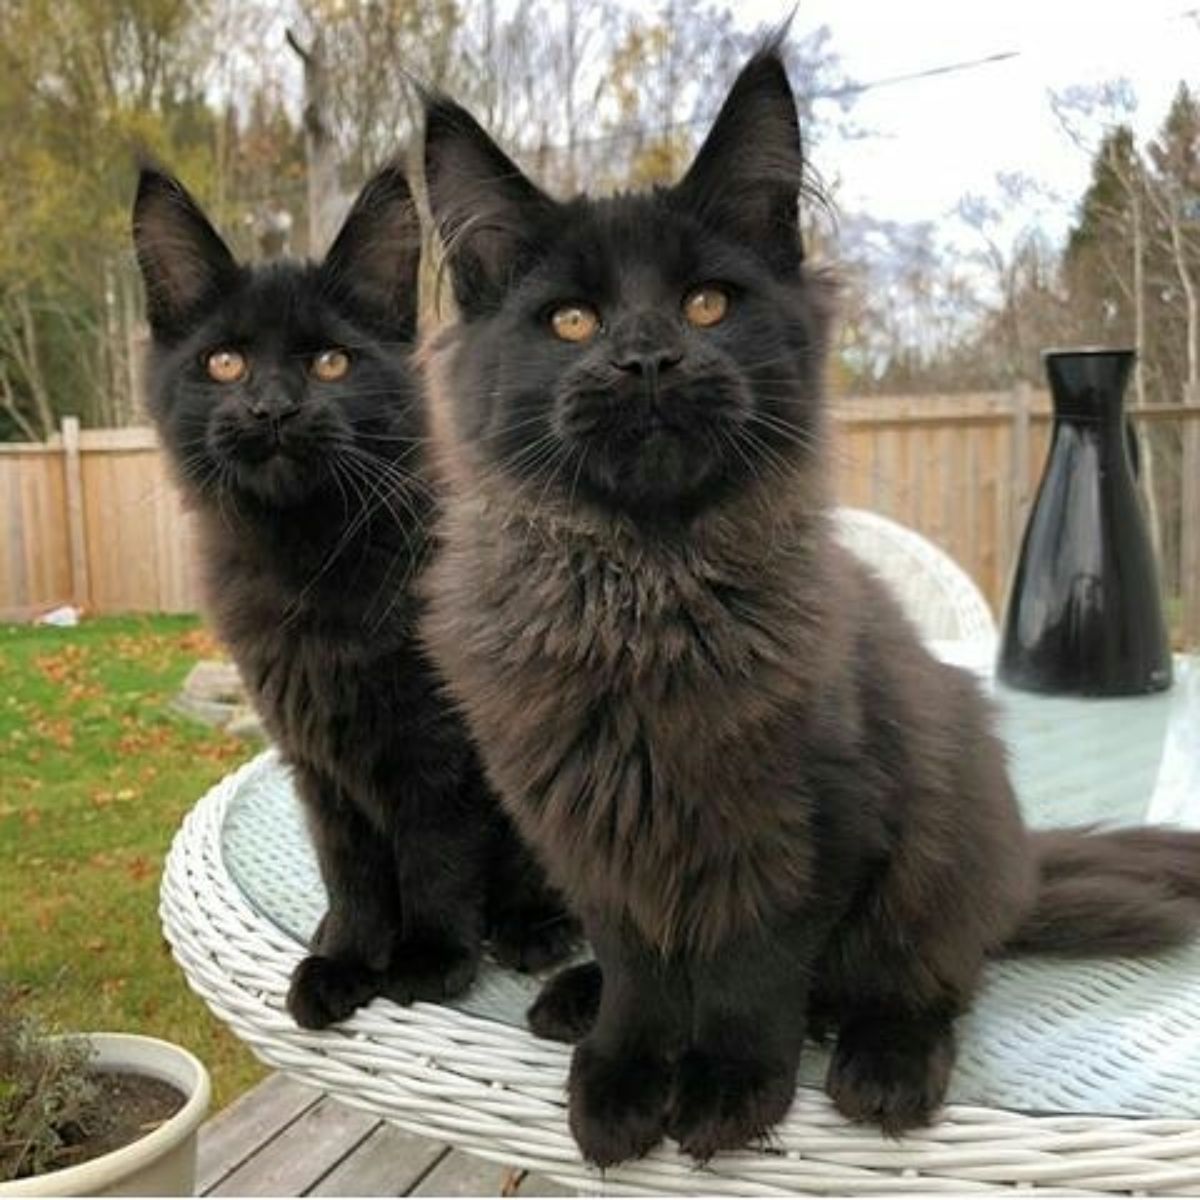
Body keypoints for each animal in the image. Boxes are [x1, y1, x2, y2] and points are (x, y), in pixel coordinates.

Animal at [133, 162, 578, 1032]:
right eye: (224, 363)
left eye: (332, 364)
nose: (273, 407)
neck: (309, 560)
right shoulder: (314, 755)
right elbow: (354, 869)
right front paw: (345, 959)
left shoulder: (436, 744)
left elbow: (435, 853)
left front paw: (429, 959)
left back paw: (530, 926)